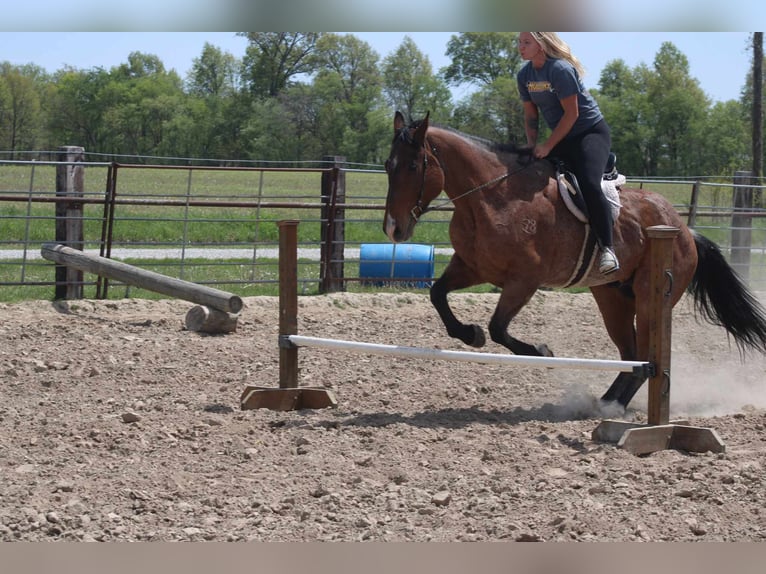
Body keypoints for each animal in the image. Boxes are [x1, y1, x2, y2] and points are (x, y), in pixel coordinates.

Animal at [384, 111, 766, 410]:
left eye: (414, 165)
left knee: (646, 353)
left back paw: (611, 407)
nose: (393, 228)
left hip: (651, 298)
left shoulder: (523, 281)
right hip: (612, 297)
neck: (491, 198)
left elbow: (498, 328)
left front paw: (542, 352)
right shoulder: (472, 268)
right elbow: (439, 296)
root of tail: (685, 231)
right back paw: (607, 402)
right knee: (632, 354)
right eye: (388, 166)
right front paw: (469, 334)